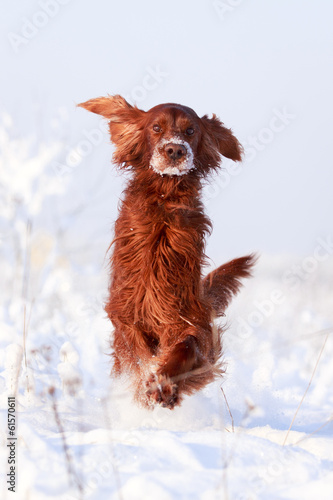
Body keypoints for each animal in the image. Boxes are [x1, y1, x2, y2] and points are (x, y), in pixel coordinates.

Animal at [78, 95, 254, 408]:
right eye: (156, 127)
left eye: (191, 131)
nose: (174, 150)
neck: (164, 201)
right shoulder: (126, 312)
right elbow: (136, 353)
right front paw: (147, 382)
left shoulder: (188, 318)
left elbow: (185, 347)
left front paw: (162, 384)